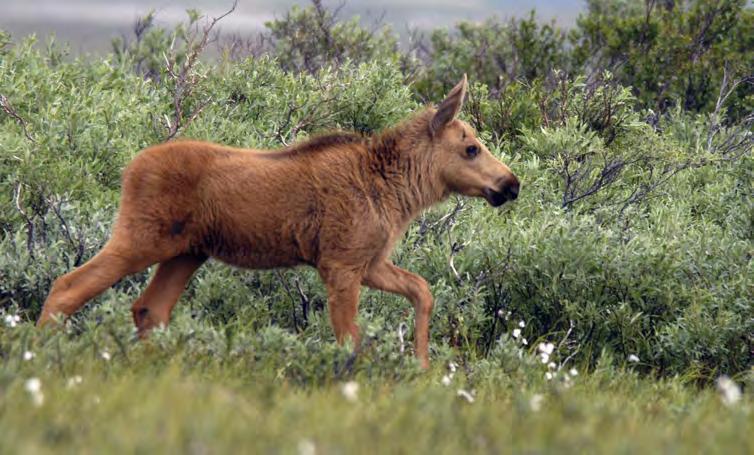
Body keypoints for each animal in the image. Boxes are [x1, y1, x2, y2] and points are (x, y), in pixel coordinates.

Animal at [36, 74, 516, 366]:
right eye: (471, 148)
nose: (511, 184)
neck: (400, 194)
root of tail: (129, 169)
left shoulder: (370, 262)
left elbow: (422, 291)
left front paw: (422, 365)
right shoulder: (341, 265)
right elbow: (350, 340)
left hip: (186, 253)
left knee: (148, 309)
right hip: (139, 238)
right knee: (67, 287)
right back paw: (38, 356)